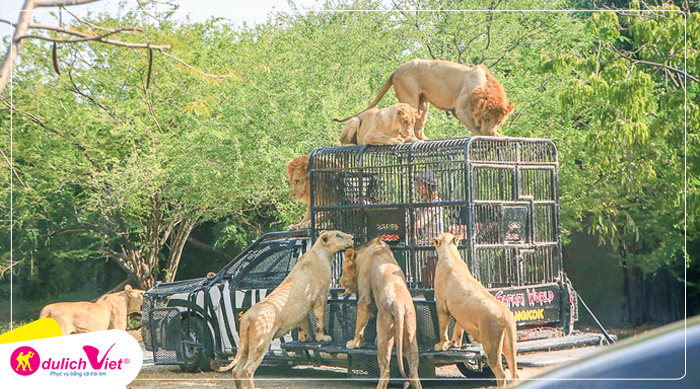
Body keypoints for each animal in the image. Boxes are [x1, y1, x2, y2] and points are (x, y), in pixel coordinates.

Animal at [209, 230, 352, 388]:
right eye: (338, 235)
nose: (352, 237)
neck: (321, 252)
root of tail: (246, 316)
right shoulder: (320, 297)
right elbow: (320, 321)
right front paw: (323, 338)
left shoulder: (303, 306)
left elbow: (303, 323)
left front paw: (305, 338)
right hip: (261, 343)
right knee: (247, 369)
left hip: (246, 345)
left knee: (236, 370)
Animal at [334, 59, 516, 139]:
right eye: (487, 118)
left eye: (499, 121)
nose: (491, 131)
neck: (484, 86)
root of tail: (396, 70)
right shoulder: (460, 110)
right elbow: (475, 128)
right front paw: (489, 136)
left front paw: (496, 134)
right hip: (410, 98)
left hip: (424, 103)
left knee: (419, 128)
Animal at [340, 236, 422, 388]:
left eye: (343, 269)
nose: (340, 281)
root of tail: (399, 305)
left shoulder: (364, 288)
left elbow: (360, 320)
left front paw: (354, 343)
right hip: (410, 330)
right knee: (413, 371)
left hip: (385, 332)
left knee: (385, 369)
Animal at [430, 232, 516, 384]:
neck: (450, 253)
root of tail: (505, 313)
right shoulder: (460, 313)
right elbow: (458, 328)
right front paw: (455, 344)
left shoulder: (441, 305)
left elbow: (442, 328)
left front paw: (441, 345)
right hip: (508, 344)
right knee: (514, 372)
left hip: (491, 342)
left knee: (500, 373)